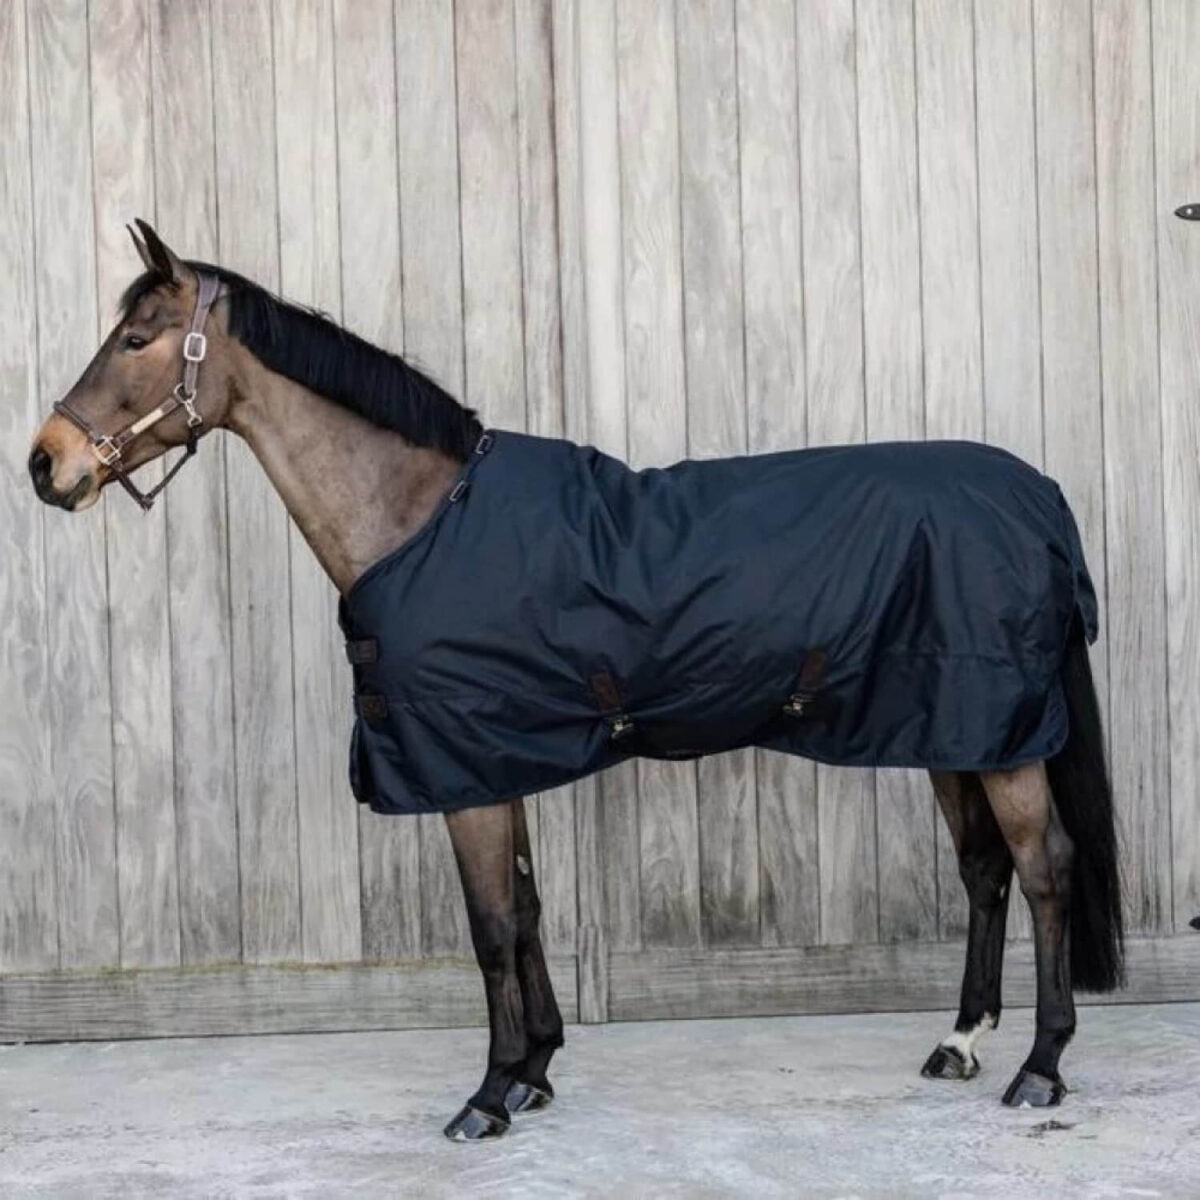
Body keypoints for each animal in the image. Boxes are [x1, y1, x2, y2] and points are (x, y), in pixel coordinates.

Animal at [29, 221, 1124, 1141]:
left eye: (136, 338)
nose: (47, 465)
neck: (423, 518)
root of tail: (1037, 495)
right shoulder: (492, 760)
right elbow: (527, 910)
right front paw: (535, 1071)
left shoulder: (462, 771)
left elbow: (490, 927)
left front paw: (487, 1095)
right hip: (953, 730)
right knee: (984, 871)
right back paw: (960, 1043)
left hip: (998, 736)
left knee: (1045, 870)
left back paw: (1040, 1067)